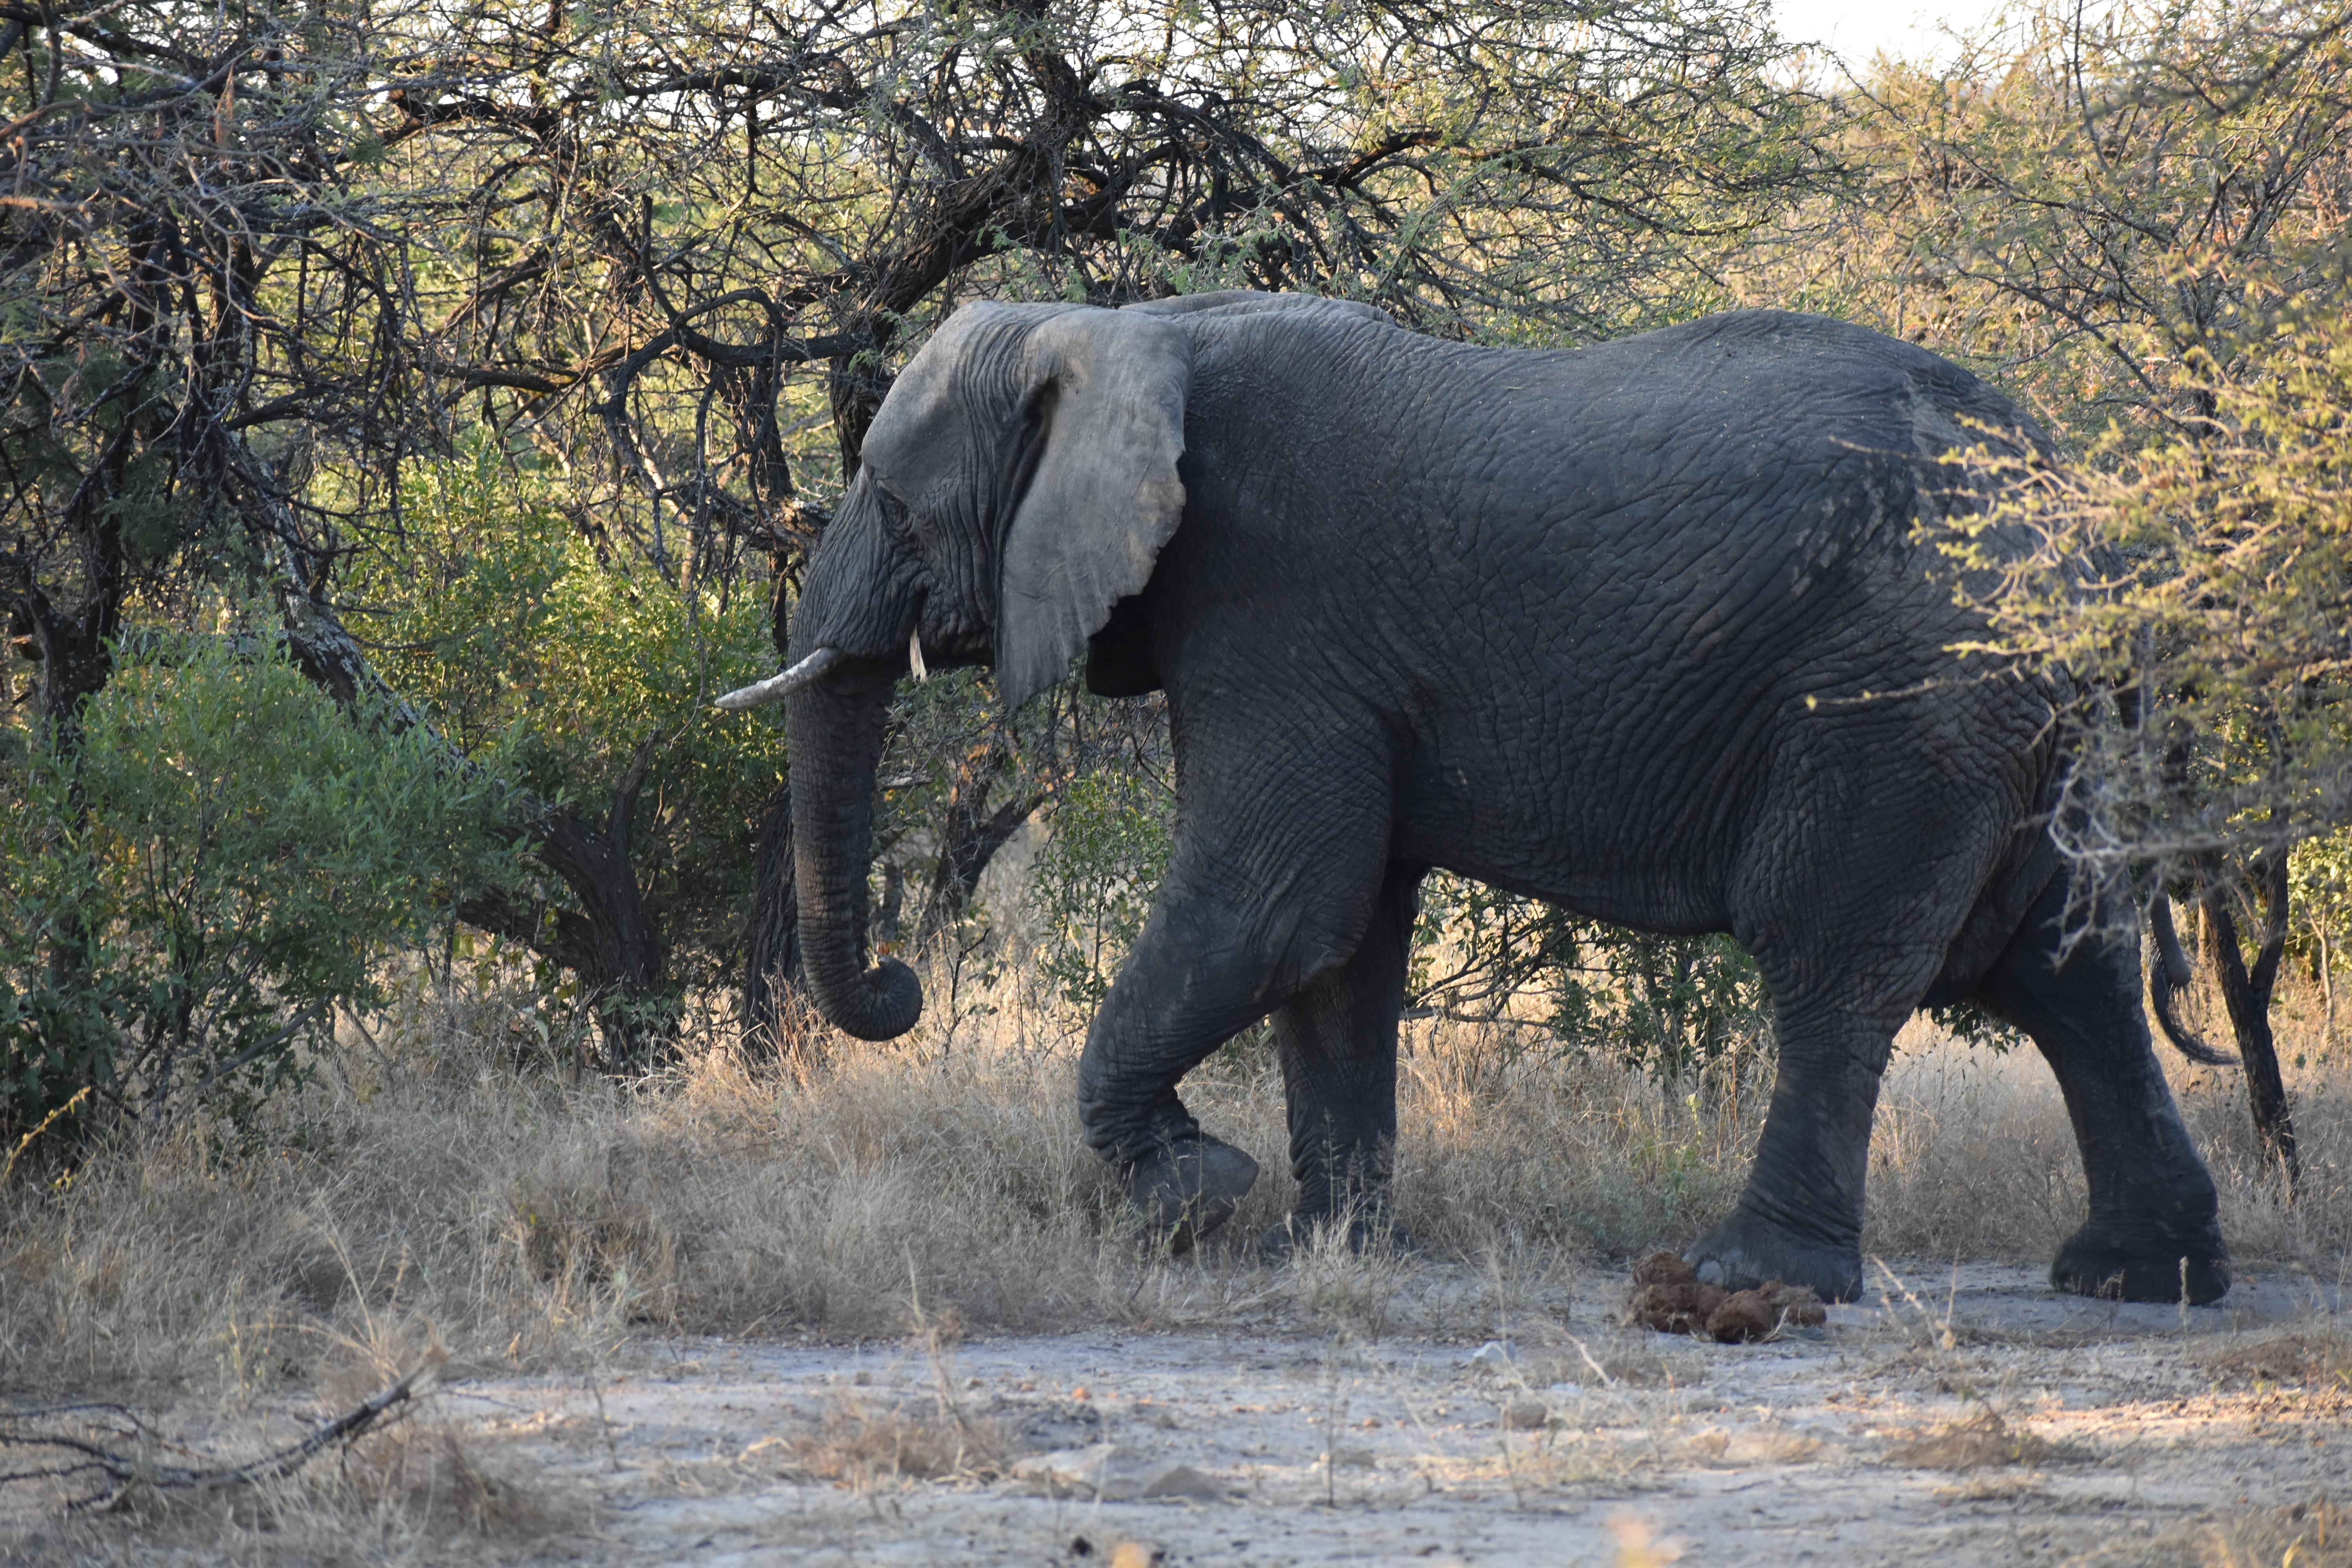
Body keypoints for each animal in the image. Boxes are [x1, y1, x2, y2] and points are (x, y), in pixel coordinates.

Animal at [748, 288, 2220, 1307]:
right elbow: (1337, 943)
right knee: (2063, 966)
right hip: (2016, 723)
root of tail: (2096, 527)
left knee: (1836, 960)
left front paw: (1198, 1196)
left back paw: (1748, 1280)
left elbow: (1275, 904)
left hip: (1900, 707)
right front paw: (1321, 1247)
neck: (1124, 327)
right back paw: (2134, 1276)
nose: (899, 984)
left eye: (893, 503)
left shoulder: (1273, 604)